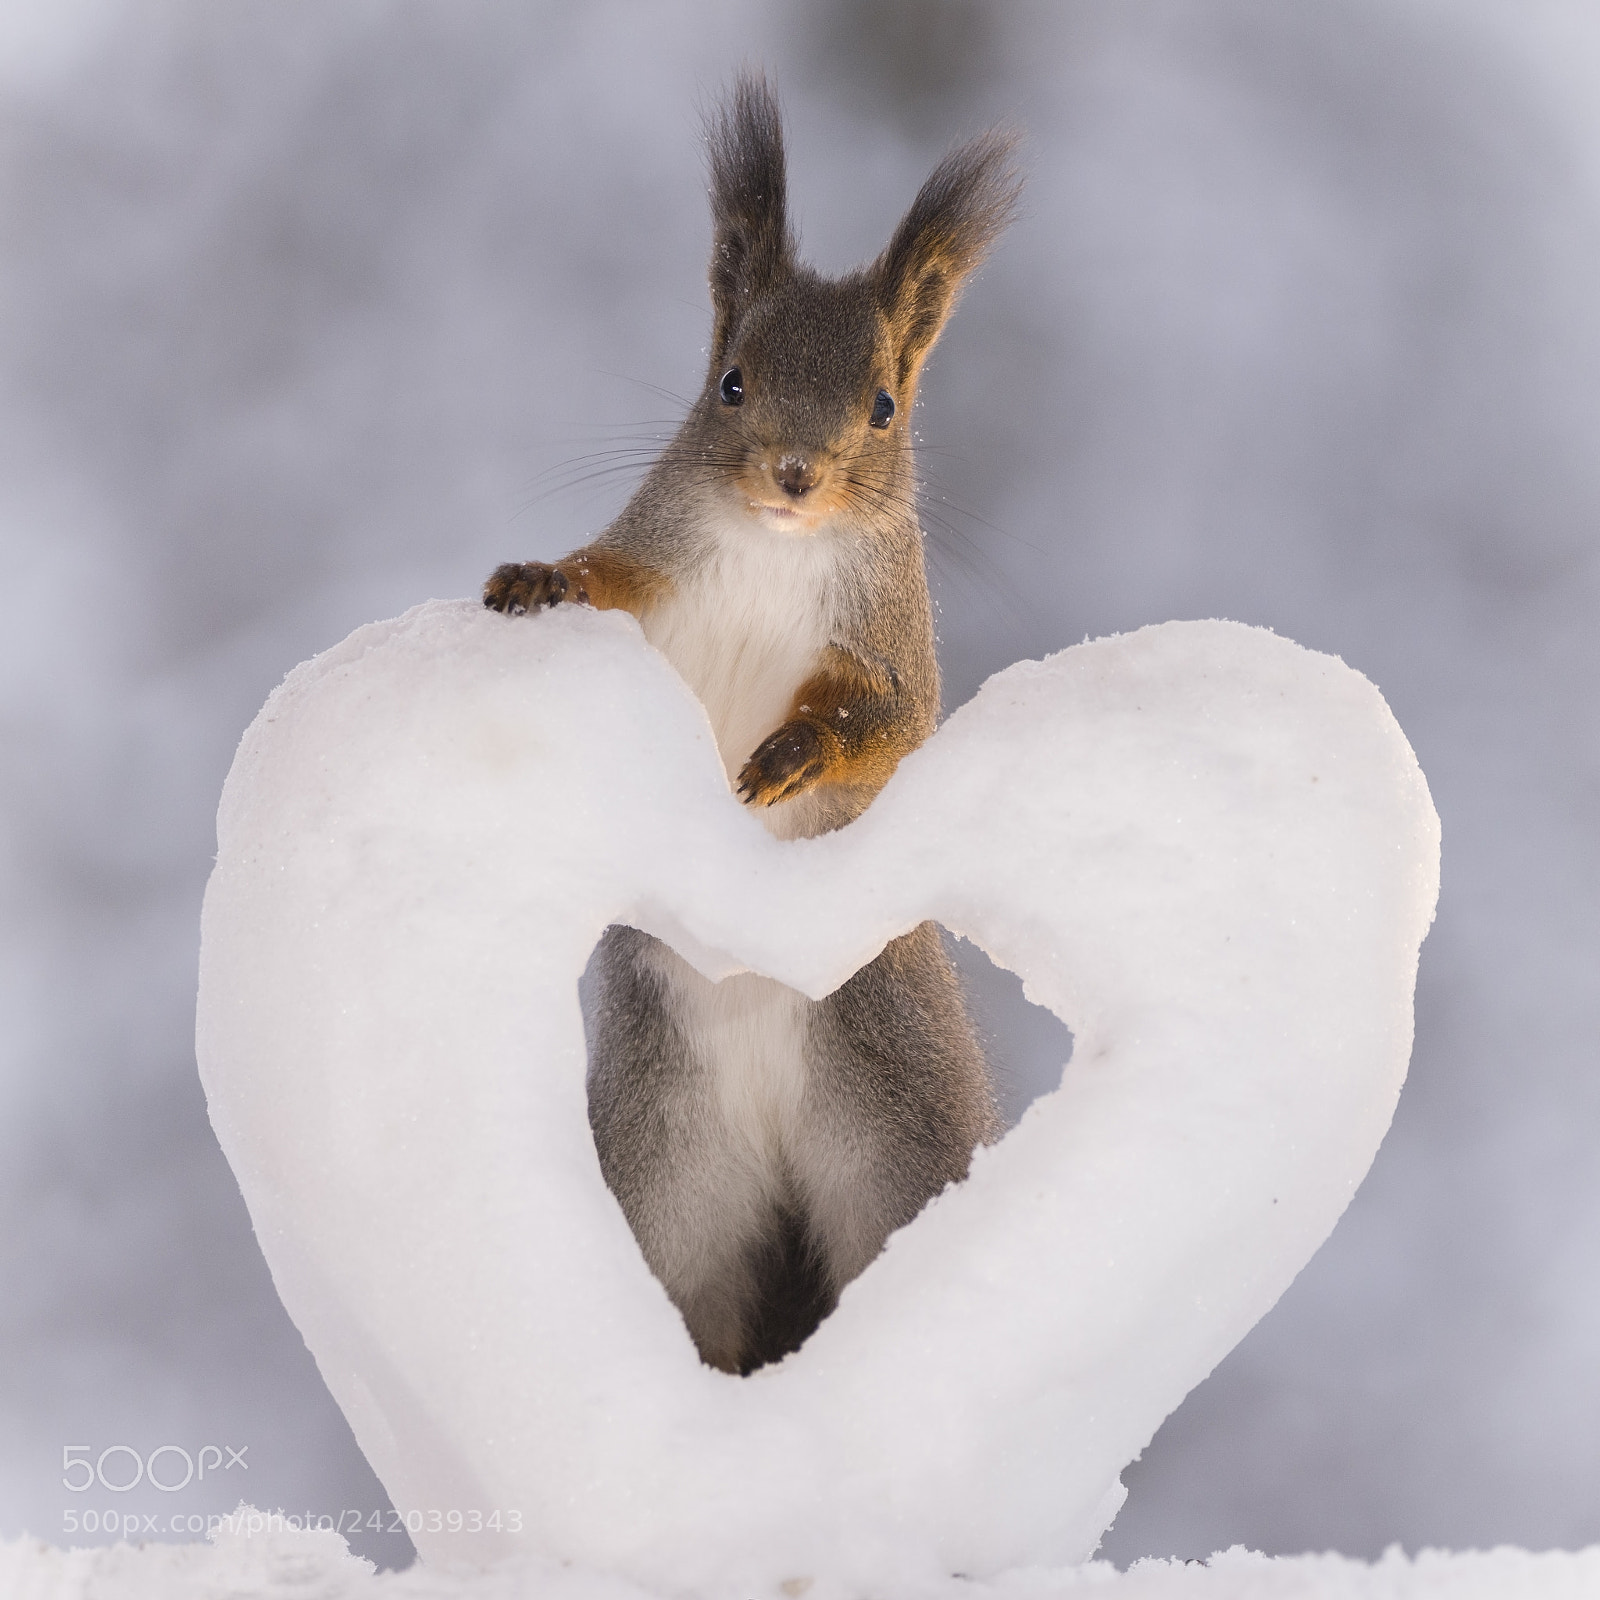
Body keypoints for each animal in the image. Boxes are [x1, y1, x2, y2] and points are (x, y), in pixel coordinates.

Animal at [485, 73, 1020, 1375]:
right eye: (729, 380)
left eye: (883, 404)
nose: (792, 472)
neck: (777, 548)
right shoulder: (654, 569)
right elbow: (599, 580)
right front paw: (536, 579)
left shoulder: (889, 638)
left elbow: (890, 723)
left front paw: (788, 756)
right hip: (668, 1174)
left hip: (899, 1129)